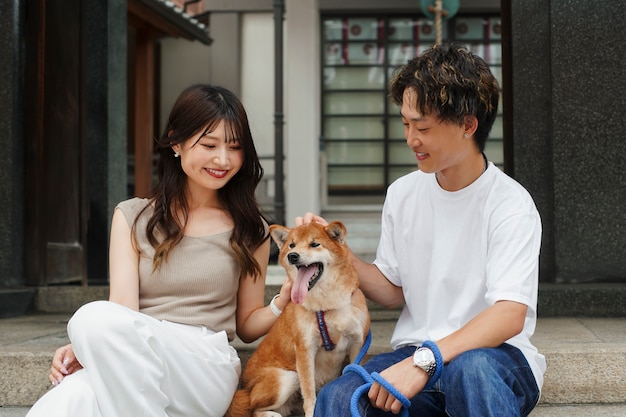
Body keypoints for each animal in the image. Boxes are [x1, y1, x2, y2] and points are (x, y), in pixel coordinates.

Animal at [227, 221, 368, 416]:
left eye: (315, 244)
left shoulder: (357, 343)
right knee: (252, 407)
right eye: (292, 245)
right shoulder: (305, 348)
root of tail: (245, 386)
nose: (293, 256)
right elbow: (309, 395)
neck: (326, 306)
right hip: (287, 377)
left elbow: (355, 371)